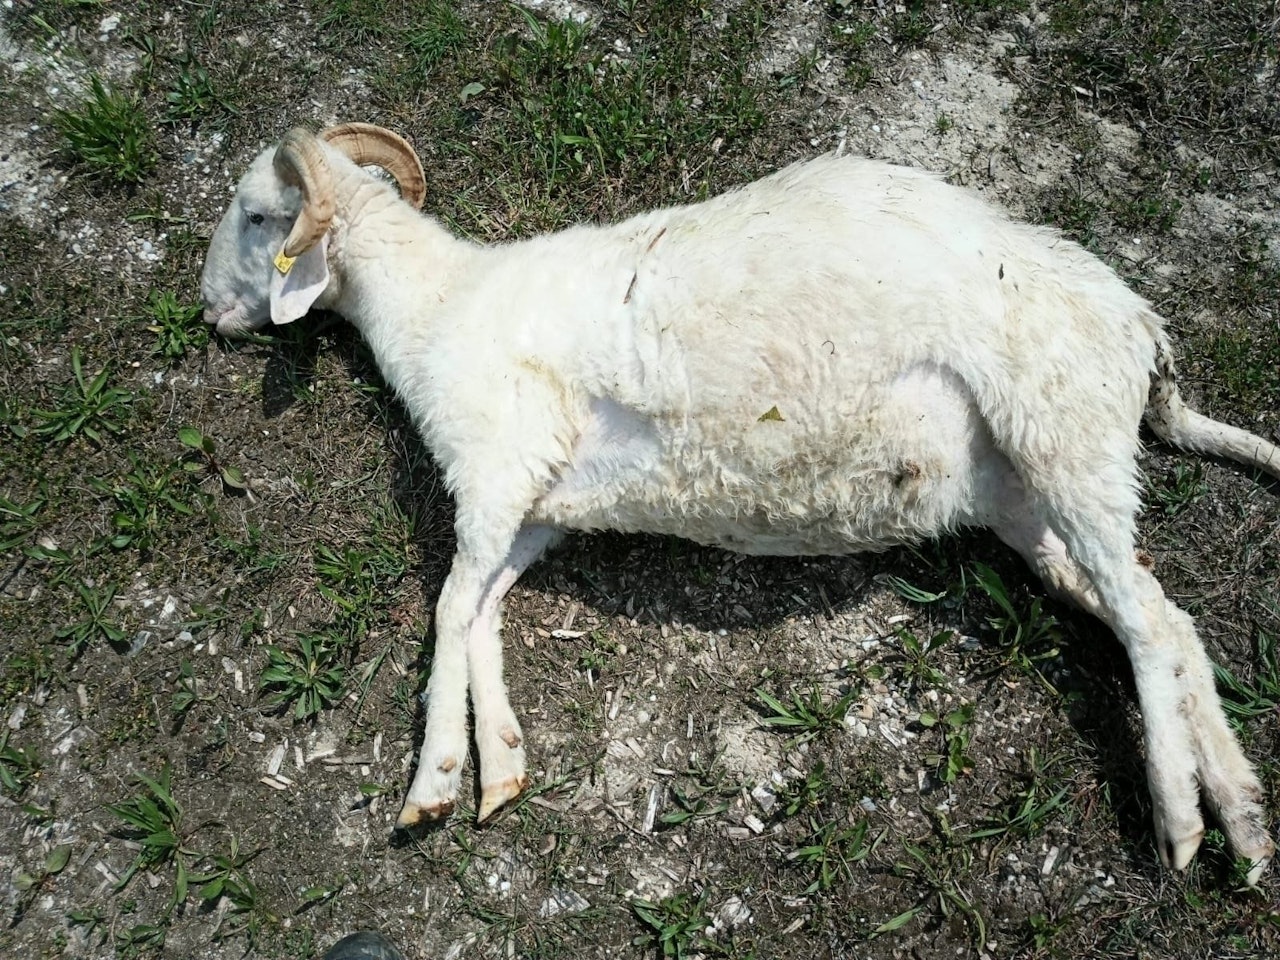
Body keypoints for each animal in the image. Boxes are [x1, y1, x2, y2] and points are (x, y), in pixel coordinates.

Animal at [200, 123, 1278, 884]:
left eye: (258, 217)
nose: (209, 311)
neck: (436, 308)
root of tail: (1139, 327)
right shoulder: (535, 510)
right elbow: (482, 614)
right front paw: (498, 766)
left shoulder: (494, 471)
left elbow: (448, 608)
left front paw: (431, 781)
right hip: (1028, 496)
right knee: (1164, 617)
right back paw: (1242, 813)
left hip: (1061, 431)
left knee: (1146, 625)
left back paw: (1180, 819)